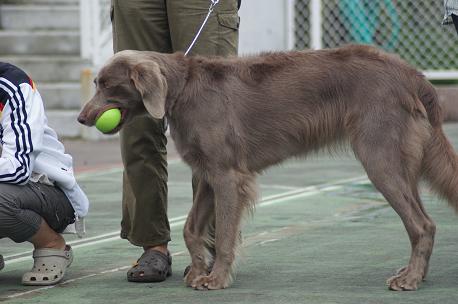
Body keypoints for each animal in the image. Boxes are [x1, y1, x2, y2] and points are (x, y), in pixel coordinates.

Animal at [78, 44, 458, 290]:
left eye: (109, 84)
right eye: (95, 83)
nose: (81, 118)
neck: (184, 90)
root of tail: (411, 73)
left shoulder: (228, 176)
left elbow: (225, 233)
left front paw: (216, 279)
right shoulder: (207, 174)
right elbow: (190, 228)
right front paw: (197, 271)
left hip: (380, 157)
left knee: (422, 224)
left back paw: (410, 279)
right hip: (400, 162)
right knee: (424, 221)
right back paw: (415, 273)